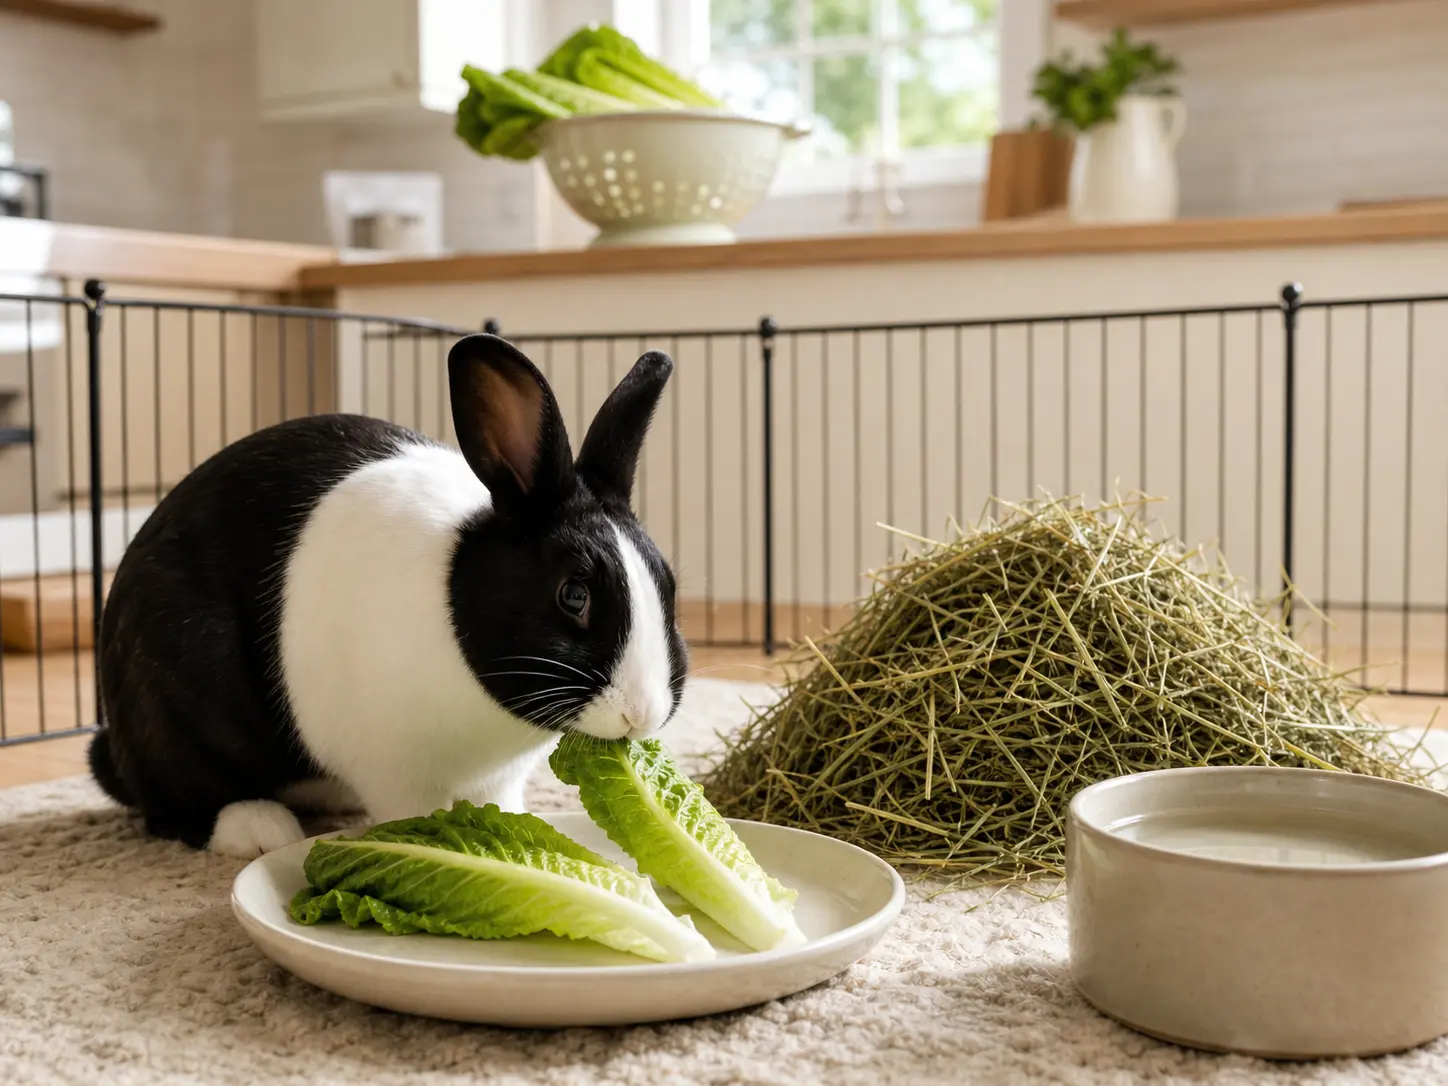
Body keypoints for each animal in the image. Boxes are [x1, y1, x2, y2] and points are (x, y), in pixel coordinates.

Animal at [89, 333, 689, 858]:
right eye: (573, 595)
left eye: (668, 583)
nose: (642, 713)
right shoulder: (394, 768)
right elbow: (412, 812)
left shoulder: (497, 780)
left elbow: (499, 803)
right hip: (170, 698)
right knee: (177, 803)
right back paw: (258, 830)